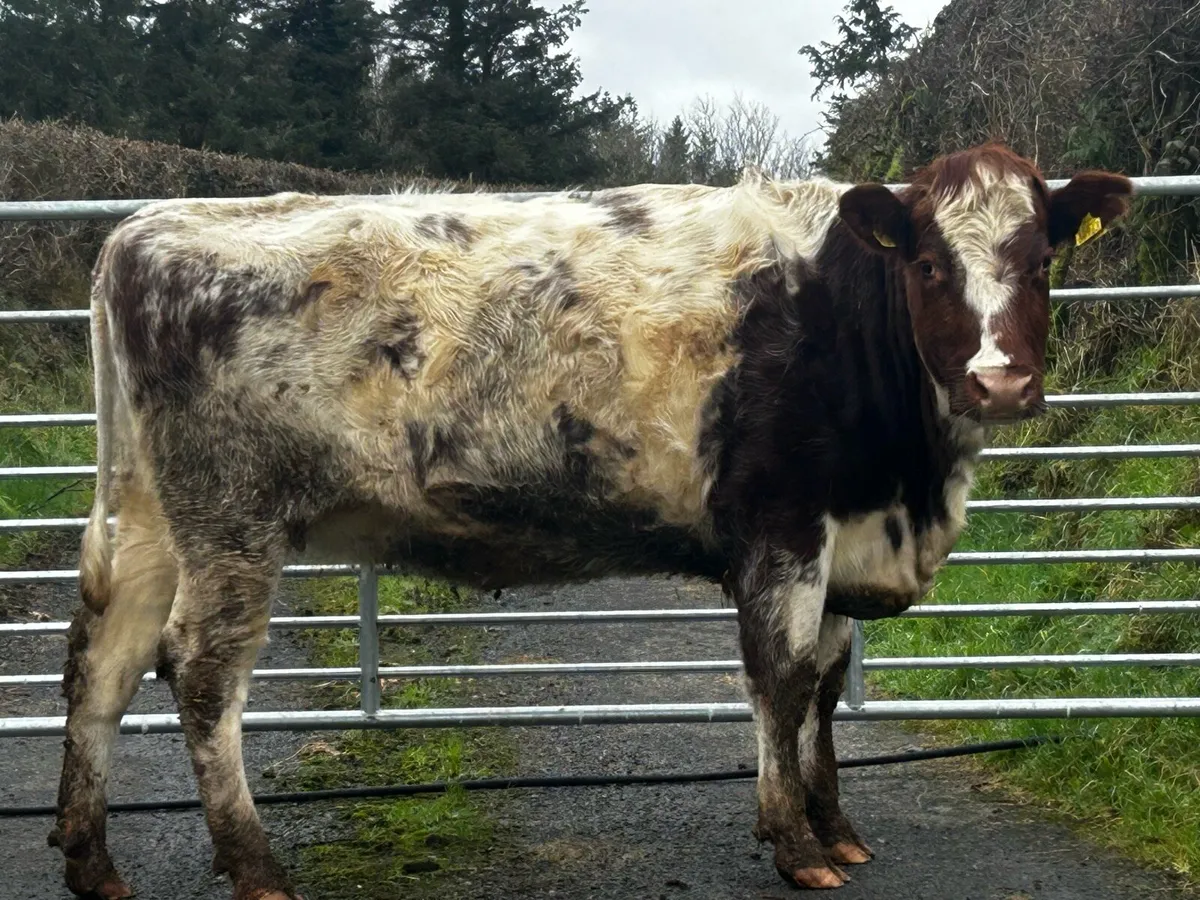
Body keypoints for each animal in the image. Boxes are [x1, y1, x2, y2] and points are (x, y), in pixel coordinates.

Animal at [50, 142, 1132, 898]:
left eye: (1041, 260)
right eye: (933, 268)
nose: (999, 381)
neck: (911, 487)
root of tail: (144, 230)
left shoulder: (841, 533)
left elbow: (824, 687)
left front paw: (836, 829)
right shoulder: (779, 526)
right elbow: (780, 684)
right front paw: (793, 844)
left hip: (148, 517)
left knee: (103, 662)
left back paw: (91, 860)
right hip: (233, 520)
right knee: (199, 672)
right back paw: (256, 867)